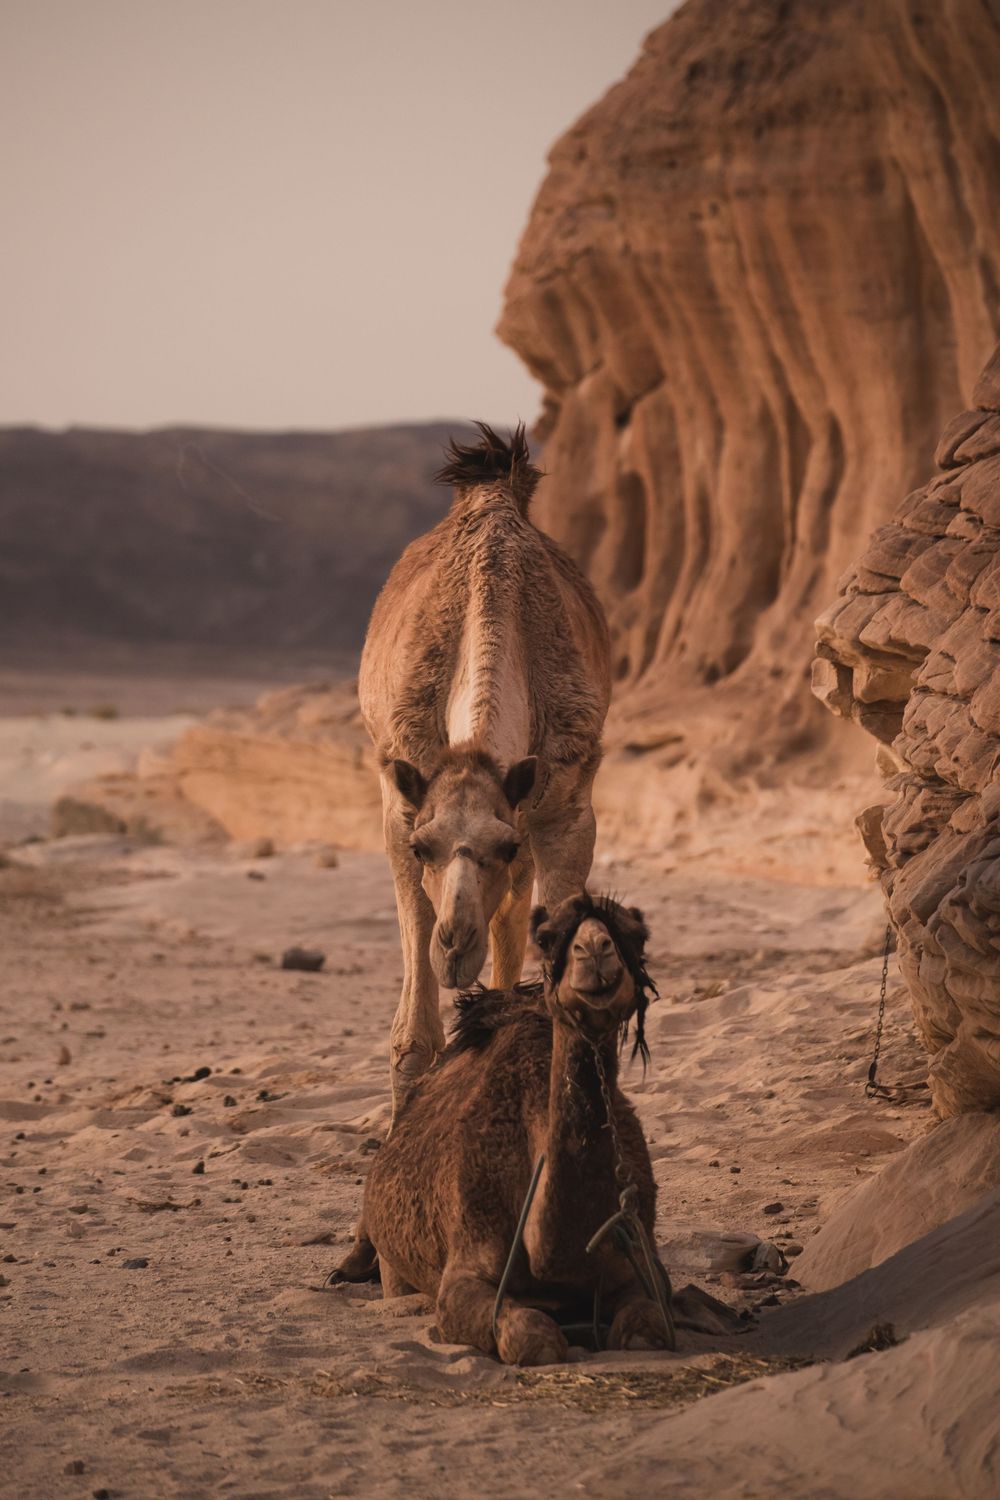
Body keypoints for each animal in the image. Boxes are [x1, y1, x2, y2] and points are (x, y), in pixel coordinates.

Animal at [359, 423, 610, 1121]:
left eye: (503, 844)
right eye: (425, 846)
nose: (455, 945)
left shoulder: (563, 808)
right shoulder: (400, 799)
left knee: (512, 922)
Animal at [360, 893, 675, 1365]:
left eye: (636, 935)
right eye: (545, 939)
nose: (595, 951)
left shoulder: (642, 1260)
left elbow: (645, 1331)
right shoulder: (465, 1266)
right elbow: (533, 1338)